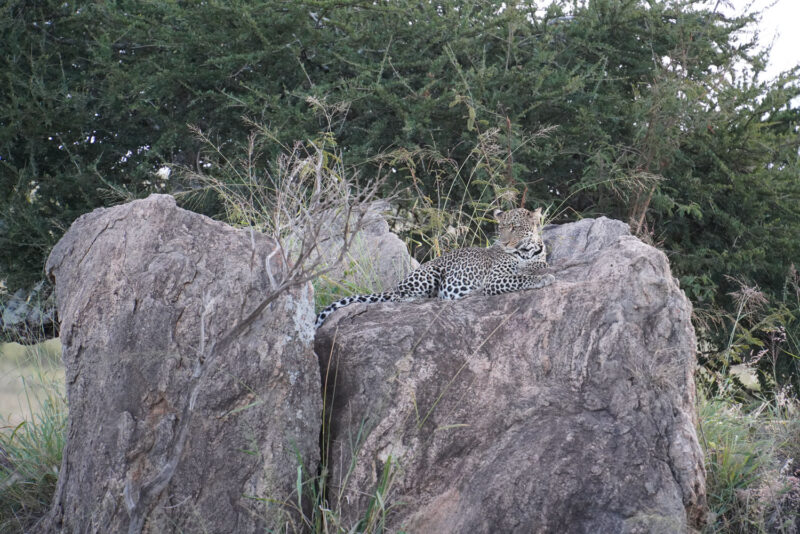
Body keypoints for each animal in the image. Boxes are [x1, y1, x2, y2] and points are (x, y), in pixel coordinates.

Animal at [314, 207, 556, 328]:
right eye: (501, 228)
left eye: (515, 227)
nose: (503, 243)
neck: (526, 250)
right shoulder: (493, 280)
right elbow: (519, 277)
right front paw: (543, 279)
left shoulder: (538, 259)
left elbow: (533, 268)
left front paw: (540, 272)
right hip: (428, 273)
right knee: (397, 297)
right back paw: (419, 299)